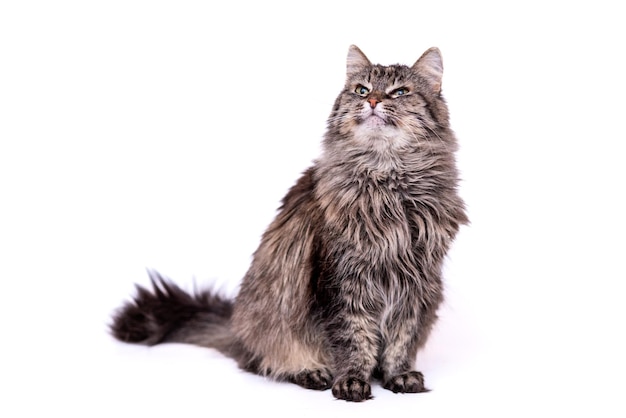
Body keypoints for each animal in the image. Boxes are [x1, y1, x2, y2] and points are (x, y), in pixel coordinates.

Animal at [109, 45, 466, 402]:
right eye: (361, 90)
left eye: (400, 92)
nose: (374, 101)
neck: (388, 180)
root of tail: (235, 327)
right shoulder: (342, 278)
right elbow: (353, 338)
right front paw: (352, 381)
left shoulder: (416, 280)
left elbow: (402, 338)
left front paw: (399, 375)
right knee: (265, 360)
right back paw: (310, 371)